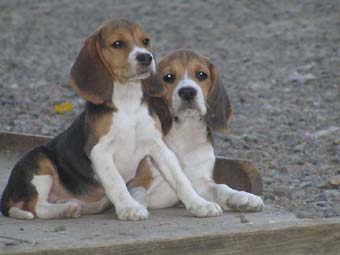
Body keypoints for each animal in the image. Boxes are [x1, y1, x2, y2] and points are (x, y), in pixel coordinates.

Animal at [0, 18, 223, 220]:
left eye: (145, 41)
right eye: (117, 44)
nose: (146, 57)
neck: (127, 102)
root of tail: (6, 195)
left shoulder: (159, 148)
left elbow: (181, 179)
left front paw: (199, 204)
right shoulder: (99, 151)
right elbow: (116, 182)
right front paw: (130, 208)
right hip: (39, 162)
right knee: (35, 207)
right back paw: (65, 209)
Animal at [127, 49, 262, 211]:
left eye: (201, 74)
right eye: (168, 77)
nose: (187, 92)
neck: (185, 132)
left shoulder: (200, 182)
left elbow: (221, 187)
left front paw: (242, 196)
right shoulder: (137, 181)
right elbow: (140, 194)